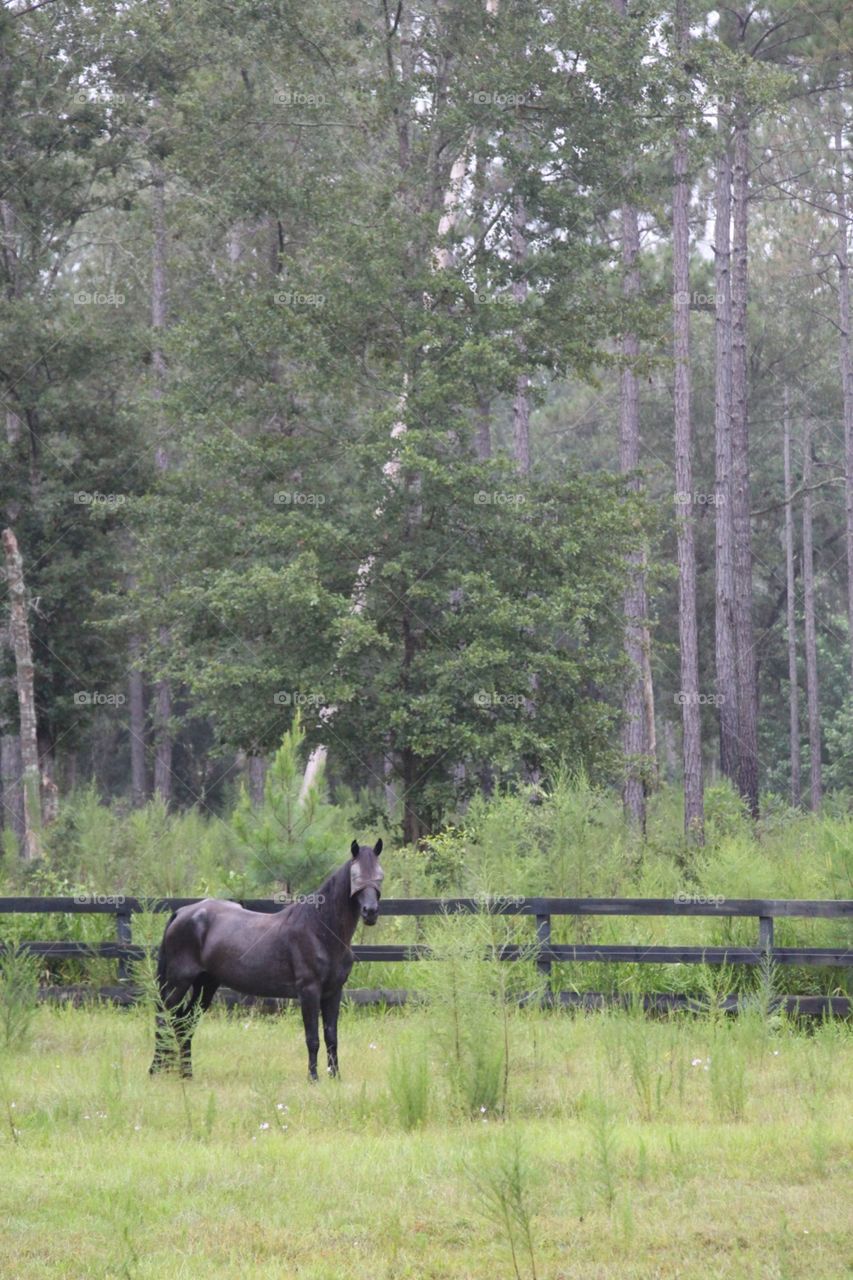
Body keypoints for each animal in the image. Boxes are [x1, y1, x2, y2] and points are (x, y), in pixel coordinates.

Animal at [149, 839, 381, 1080]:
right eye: (356, 876)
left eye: (379, 876)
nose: (370, 912)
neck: (319, 931)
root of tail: (183, 912)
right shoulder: (309, 991)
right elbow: (313, 1038)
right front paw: (313, 1079)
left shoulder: (333, 992)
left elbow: (331, 1037)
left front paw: (335, 1078)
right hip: (177, 983)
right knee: (164, 1019)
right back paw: (156, 1071)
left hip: (205, 985)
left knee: (185, 1024)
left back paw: (187, 1074)